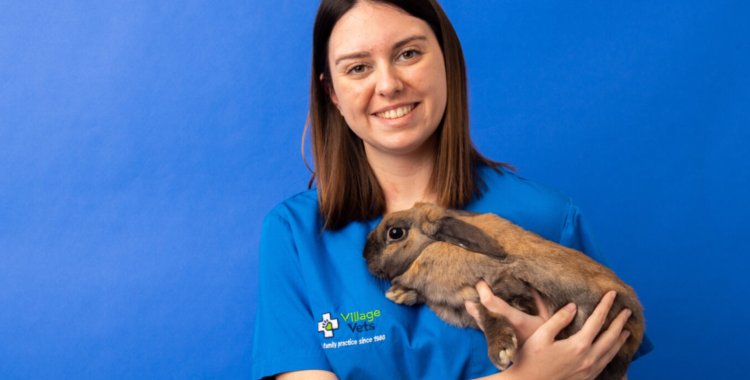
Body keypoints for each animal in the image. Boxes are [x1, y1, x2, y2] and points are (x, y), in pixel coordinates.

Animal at [364, 203, 648, 378]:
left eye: (395, 233)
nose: (365, 257)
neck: (431, 248)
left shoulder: (503, 285)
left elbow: (488, 309)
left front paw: (501, 349)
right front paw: (399, 293)